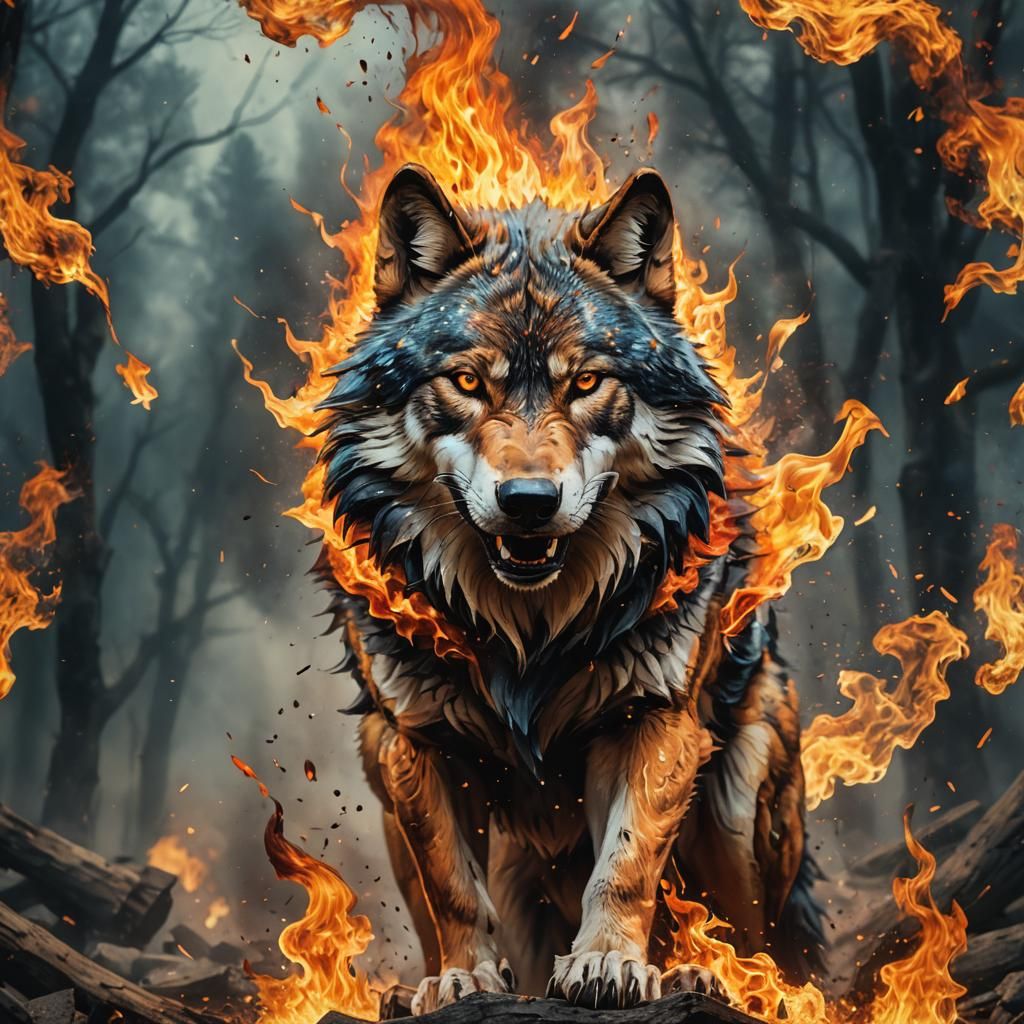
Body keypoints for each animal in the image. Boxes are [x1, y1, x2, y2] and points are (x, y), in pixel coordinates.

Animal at [317, 164, 824, 1012]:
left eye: (586, 381)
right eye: (467, 382)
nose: (529, 501)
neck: (530, 633)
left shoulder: (654, 721)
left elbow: (626, 864)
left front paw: (610, 965)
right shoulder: (416, 739)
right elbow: (452, 888)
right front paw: (462, 980)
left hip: (736, 809)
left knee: (750, 941)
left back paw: (706, 976)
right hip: (382, 777)